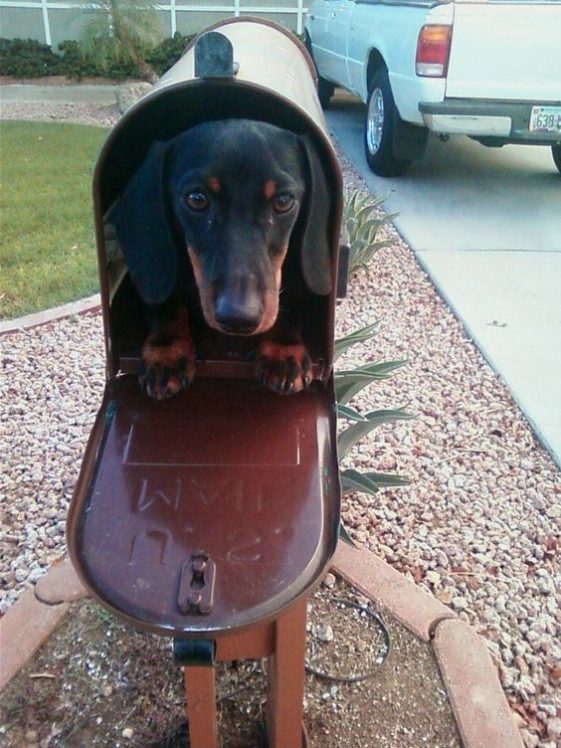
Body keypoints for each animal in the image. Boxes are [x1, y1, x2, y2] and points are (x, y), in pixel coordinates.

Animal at [108, 118, 332, 398]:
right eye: (196, 198)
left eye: (283, 201)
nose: (238, 318)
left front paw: (283, 351)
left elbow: (290, 301)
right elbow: (165, 302)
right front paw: (166, 352)